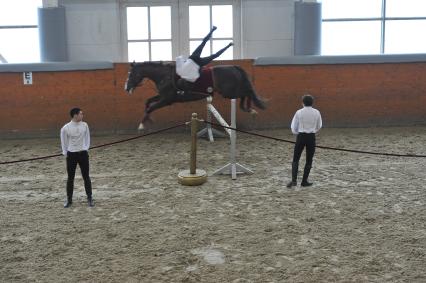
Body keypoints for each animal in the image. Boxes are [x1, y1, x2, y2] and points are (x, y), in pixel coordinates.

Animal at [122, 62, 266, 130]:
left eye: (131, 74)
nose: (126, 88)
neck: (164, 75)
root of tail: (234, 66)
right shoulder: (163, 97)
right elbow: (147, 103)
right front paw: (148, 120)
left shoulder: (167, 100)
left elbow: (150, 107)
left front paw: (142, 125)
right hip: (230, 91)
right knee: (246, 93)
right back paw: (250, 109)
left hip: (228, 92)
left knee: (247, 92)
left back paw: (250, 110)